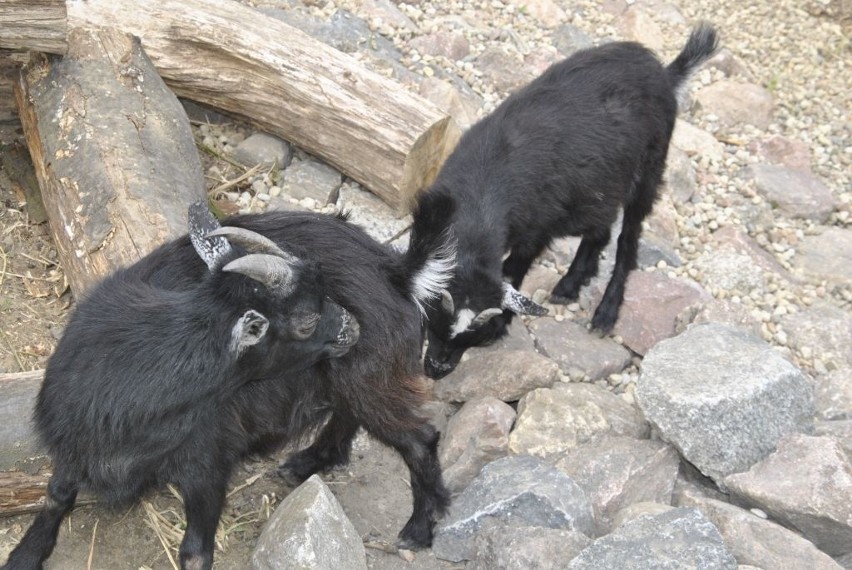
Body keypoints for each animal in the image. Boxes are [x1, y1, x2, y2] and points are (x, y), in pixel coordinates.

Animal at [3, 203, 456, 568]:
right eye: (307, 319)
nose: (352, 327)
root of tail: (397, 272)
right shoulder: (73, 440)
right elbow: (57, 494)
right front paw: (25, 555)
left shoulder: (208, 461)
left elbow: (195, 552)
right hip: (352, 376)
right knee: (351, 415)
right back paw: (306, 462)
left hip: (371, 376)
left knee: (418, 437)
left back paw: (418, 528)